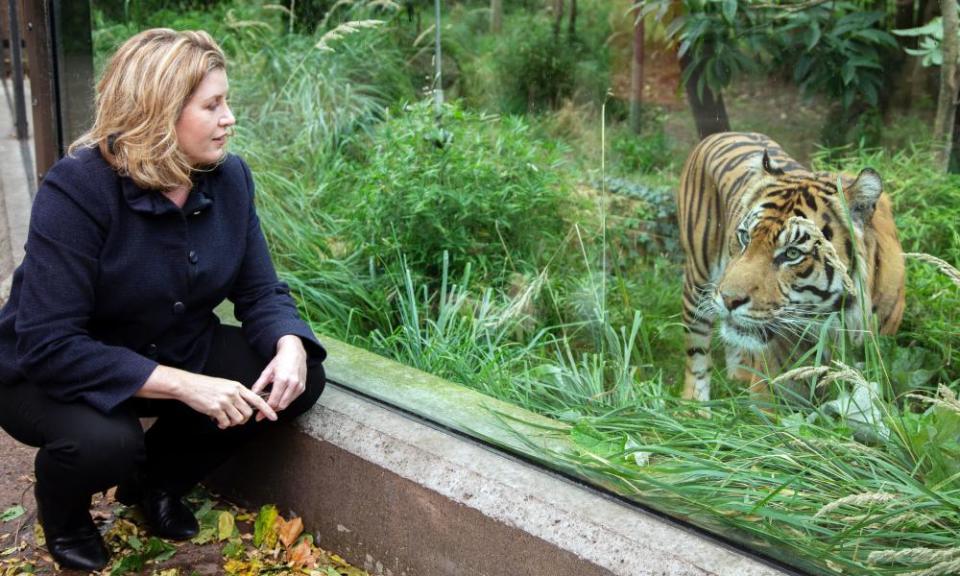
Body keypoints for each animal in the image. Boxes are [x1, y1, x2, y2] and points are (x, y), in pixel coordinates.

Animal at [676, 132, 908, 400]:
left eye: (792, 253)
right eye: (745, 237)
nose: (729, 299)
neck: (839, 319)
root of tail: (721, 133)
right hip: (698, 280)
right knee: (696, 348)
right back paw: (694, 403)